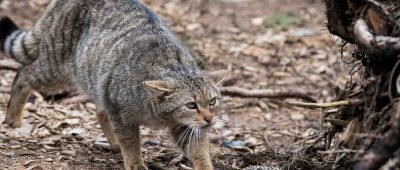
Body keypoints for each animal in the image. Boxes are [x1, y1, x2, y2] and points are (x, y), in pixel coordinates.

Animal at [0, 0, 230, 169]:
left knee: (100, 112)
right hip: (54, 68)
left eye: (212, 101)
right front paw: (135, 163)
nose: (209, 119)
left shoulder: (186, 127)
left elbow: (199, 151)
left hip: (100, 85)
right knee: (23, 74)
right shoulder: (121, 113)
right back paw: (13, 117)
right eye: (191, 105)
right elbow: (131, 143)